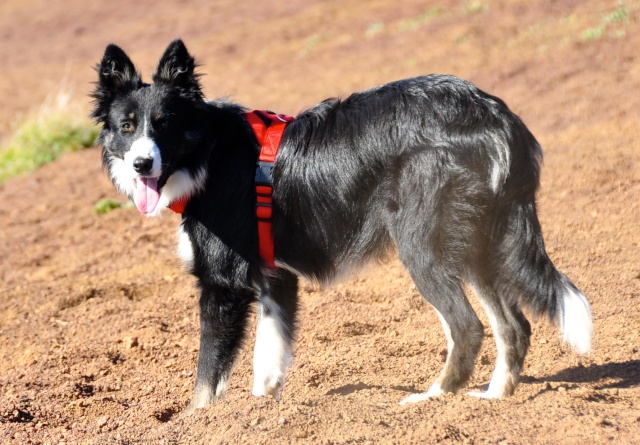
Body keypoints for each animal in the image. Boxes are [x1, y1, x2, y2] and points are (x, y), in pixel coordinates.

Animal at [92, 40, 592, 414]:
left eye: (164, 125)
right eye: (127, 126)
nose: (141, 165)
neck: (209, 155)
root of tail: (496, 115)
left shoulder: (223, 286)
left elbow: (207, 374)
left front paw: (197, 423)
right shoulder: (276, 279)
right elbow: (268, 360)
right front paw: (260, 413)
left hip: (424, 246)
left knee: (467, 327)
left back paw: (430, 399)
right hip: (474, 243)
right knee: (514, 325)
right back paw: (492, 399)